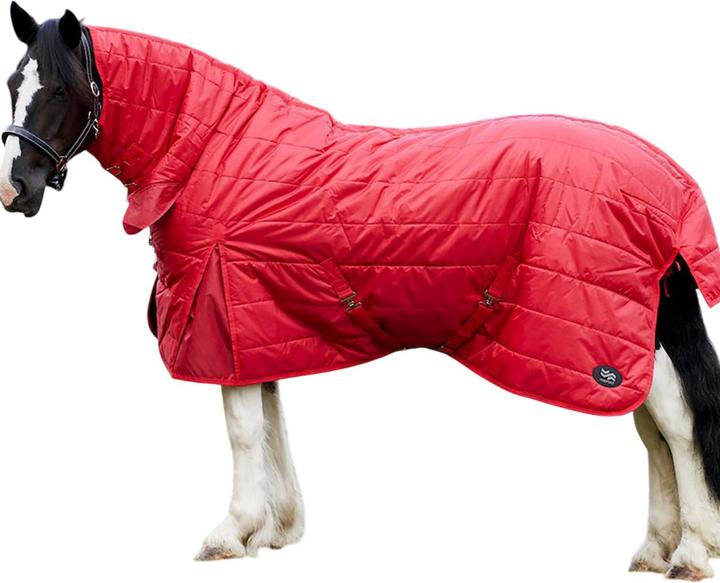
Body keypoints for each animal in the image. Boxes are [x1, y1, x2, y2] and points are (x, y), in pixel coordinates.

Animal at [3, 4, 720, 579]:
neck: (214, 152)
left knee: (678, 426)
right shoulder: (262, 326)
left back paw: (689, 553)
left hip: (619, 344)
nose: (15, 190)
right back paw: (655, 548)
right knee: (652, 433)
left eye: (60, 88)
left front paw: (232, 532)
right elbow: (271, 421)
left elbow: (242, 430)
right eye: (13, 83)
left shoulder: (224, 315)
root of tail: (671, 183)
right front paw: (277, 530)